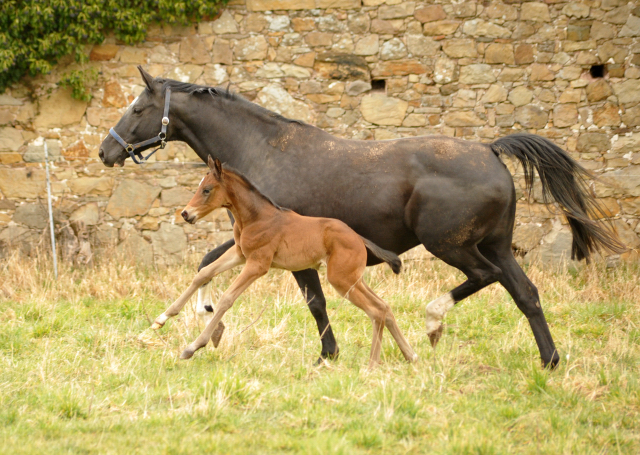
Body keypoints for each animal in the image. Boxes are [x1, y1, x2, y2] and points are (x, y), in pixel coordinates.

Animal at [152, 158, 418, 370]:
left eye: (206, 190)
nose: (186, 214)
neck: (256, 217)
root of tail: (359, 238)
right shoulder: (240, 254)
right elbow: (203, 273)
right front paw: (162, 318)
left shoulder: (258, 264)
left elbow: (227, 298)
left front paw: (193, 346)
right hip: (352, 279)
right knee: (384, 307)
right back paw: (410, 355)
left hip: (341, 280)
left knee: (376, 311)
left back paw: (372, 365)